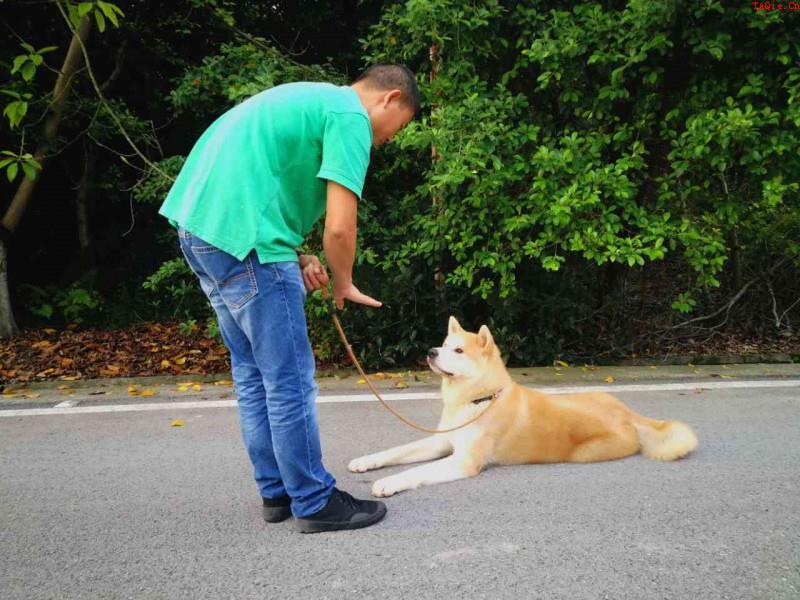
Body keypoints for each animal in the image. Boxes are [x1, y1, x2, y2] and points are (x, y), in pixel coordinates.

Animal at [346, 316, 696, 500]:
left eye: (458, 351)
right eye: (444, 345)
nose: (431, 352)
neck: (478, 400)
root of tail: (628, 414)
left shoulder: (463, 461)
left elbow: (415, 471)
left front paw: (389, 483)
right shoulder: (440, 441)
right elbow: (396, 452)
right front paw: (366, 462)